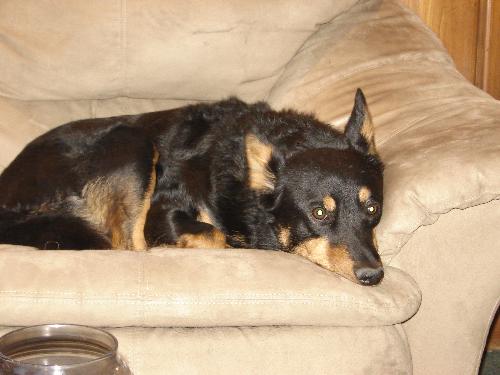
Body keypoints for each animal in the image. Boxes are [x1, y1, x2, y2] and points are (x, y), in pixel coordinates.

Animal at [0, 89, 384, 286]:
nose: (374, 275)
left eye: (373, 209)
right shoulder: (162, 212)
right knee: (126, 245)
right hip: (135, 141)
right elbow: (215, 234)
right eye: (318, 213)